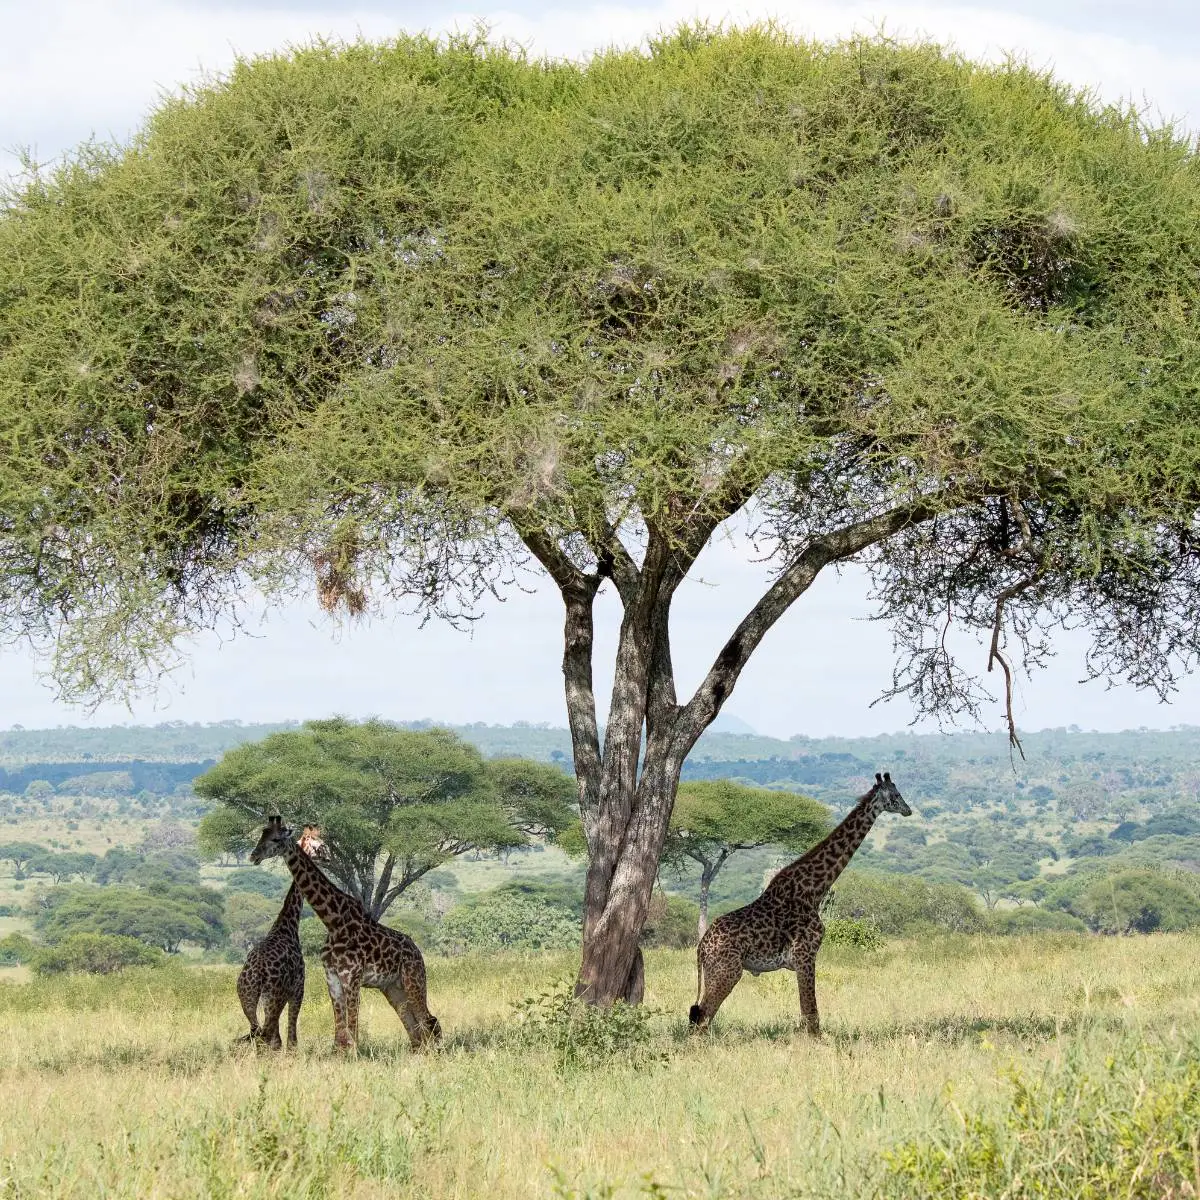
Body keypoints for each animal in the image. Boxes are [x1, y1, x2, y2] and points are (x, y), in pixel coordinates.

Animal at [234, 825, 326, 1051]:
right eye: (319, 844)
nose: (327, 856)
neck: (287, 926)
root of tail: (256, 974)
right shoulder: (298, 988)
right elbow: (291, 1039)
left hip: (247, 999)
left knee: (257, 1034)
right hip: (273, 998)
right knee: (269, 1037)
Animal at [248, 816, 441, 1051]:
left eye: (276, 838)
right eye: (262, 834)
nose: (254, 855)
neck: (333, 921)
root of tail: (417, 951)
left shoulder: (352, 977)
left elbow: (352, 1029)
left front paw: (355, 1055)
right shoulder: (332, 977)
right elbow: (339, 1032)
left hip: (413, 979)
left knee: (428, 1020)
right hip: (392, 987)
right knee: (413, 1026)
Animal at [686, 772, 907, 1036]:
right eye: (896, 794)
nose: (908, 810)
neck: (815, 890)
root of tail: (701, 948)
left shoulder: (802, 959)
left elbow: (807, 1013)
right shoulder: (805, 955)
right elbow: (811, 1013)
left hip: (715, 973)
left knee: (700, 1017)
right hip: (727, 971)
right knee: (702, 1017)